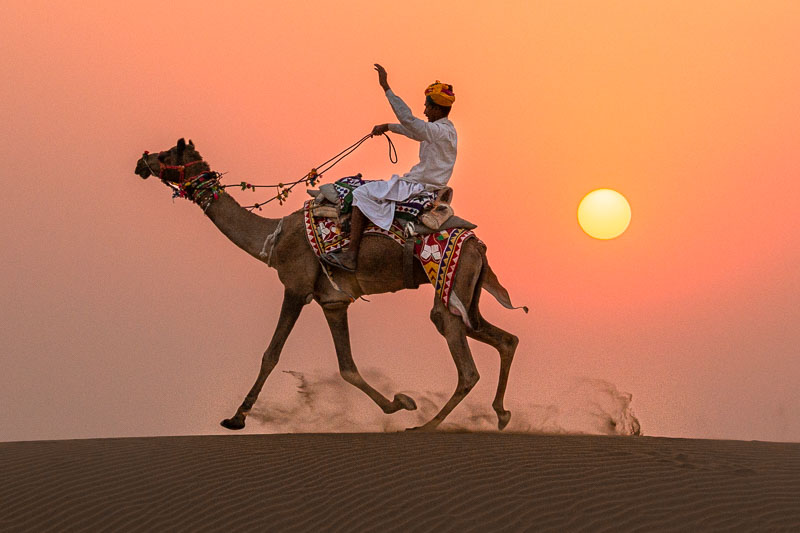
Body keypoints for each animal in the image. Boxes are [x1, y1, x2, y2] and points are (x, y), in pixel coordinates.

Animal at [135, 138, 524, 431]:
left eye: (168, 153)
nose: (142, 161)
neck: (272, 240)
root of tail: (476, 244)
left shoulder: (295, 287)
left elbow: (270, 354)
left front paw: (237, 417)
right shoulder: (333, 301)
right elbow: (347, 367)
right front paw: (399, 402)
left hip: (452, 285)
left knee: (466, 365)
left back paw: (426, 427)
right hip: (467, 291)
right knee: (504, 338)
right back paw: (501, 414)